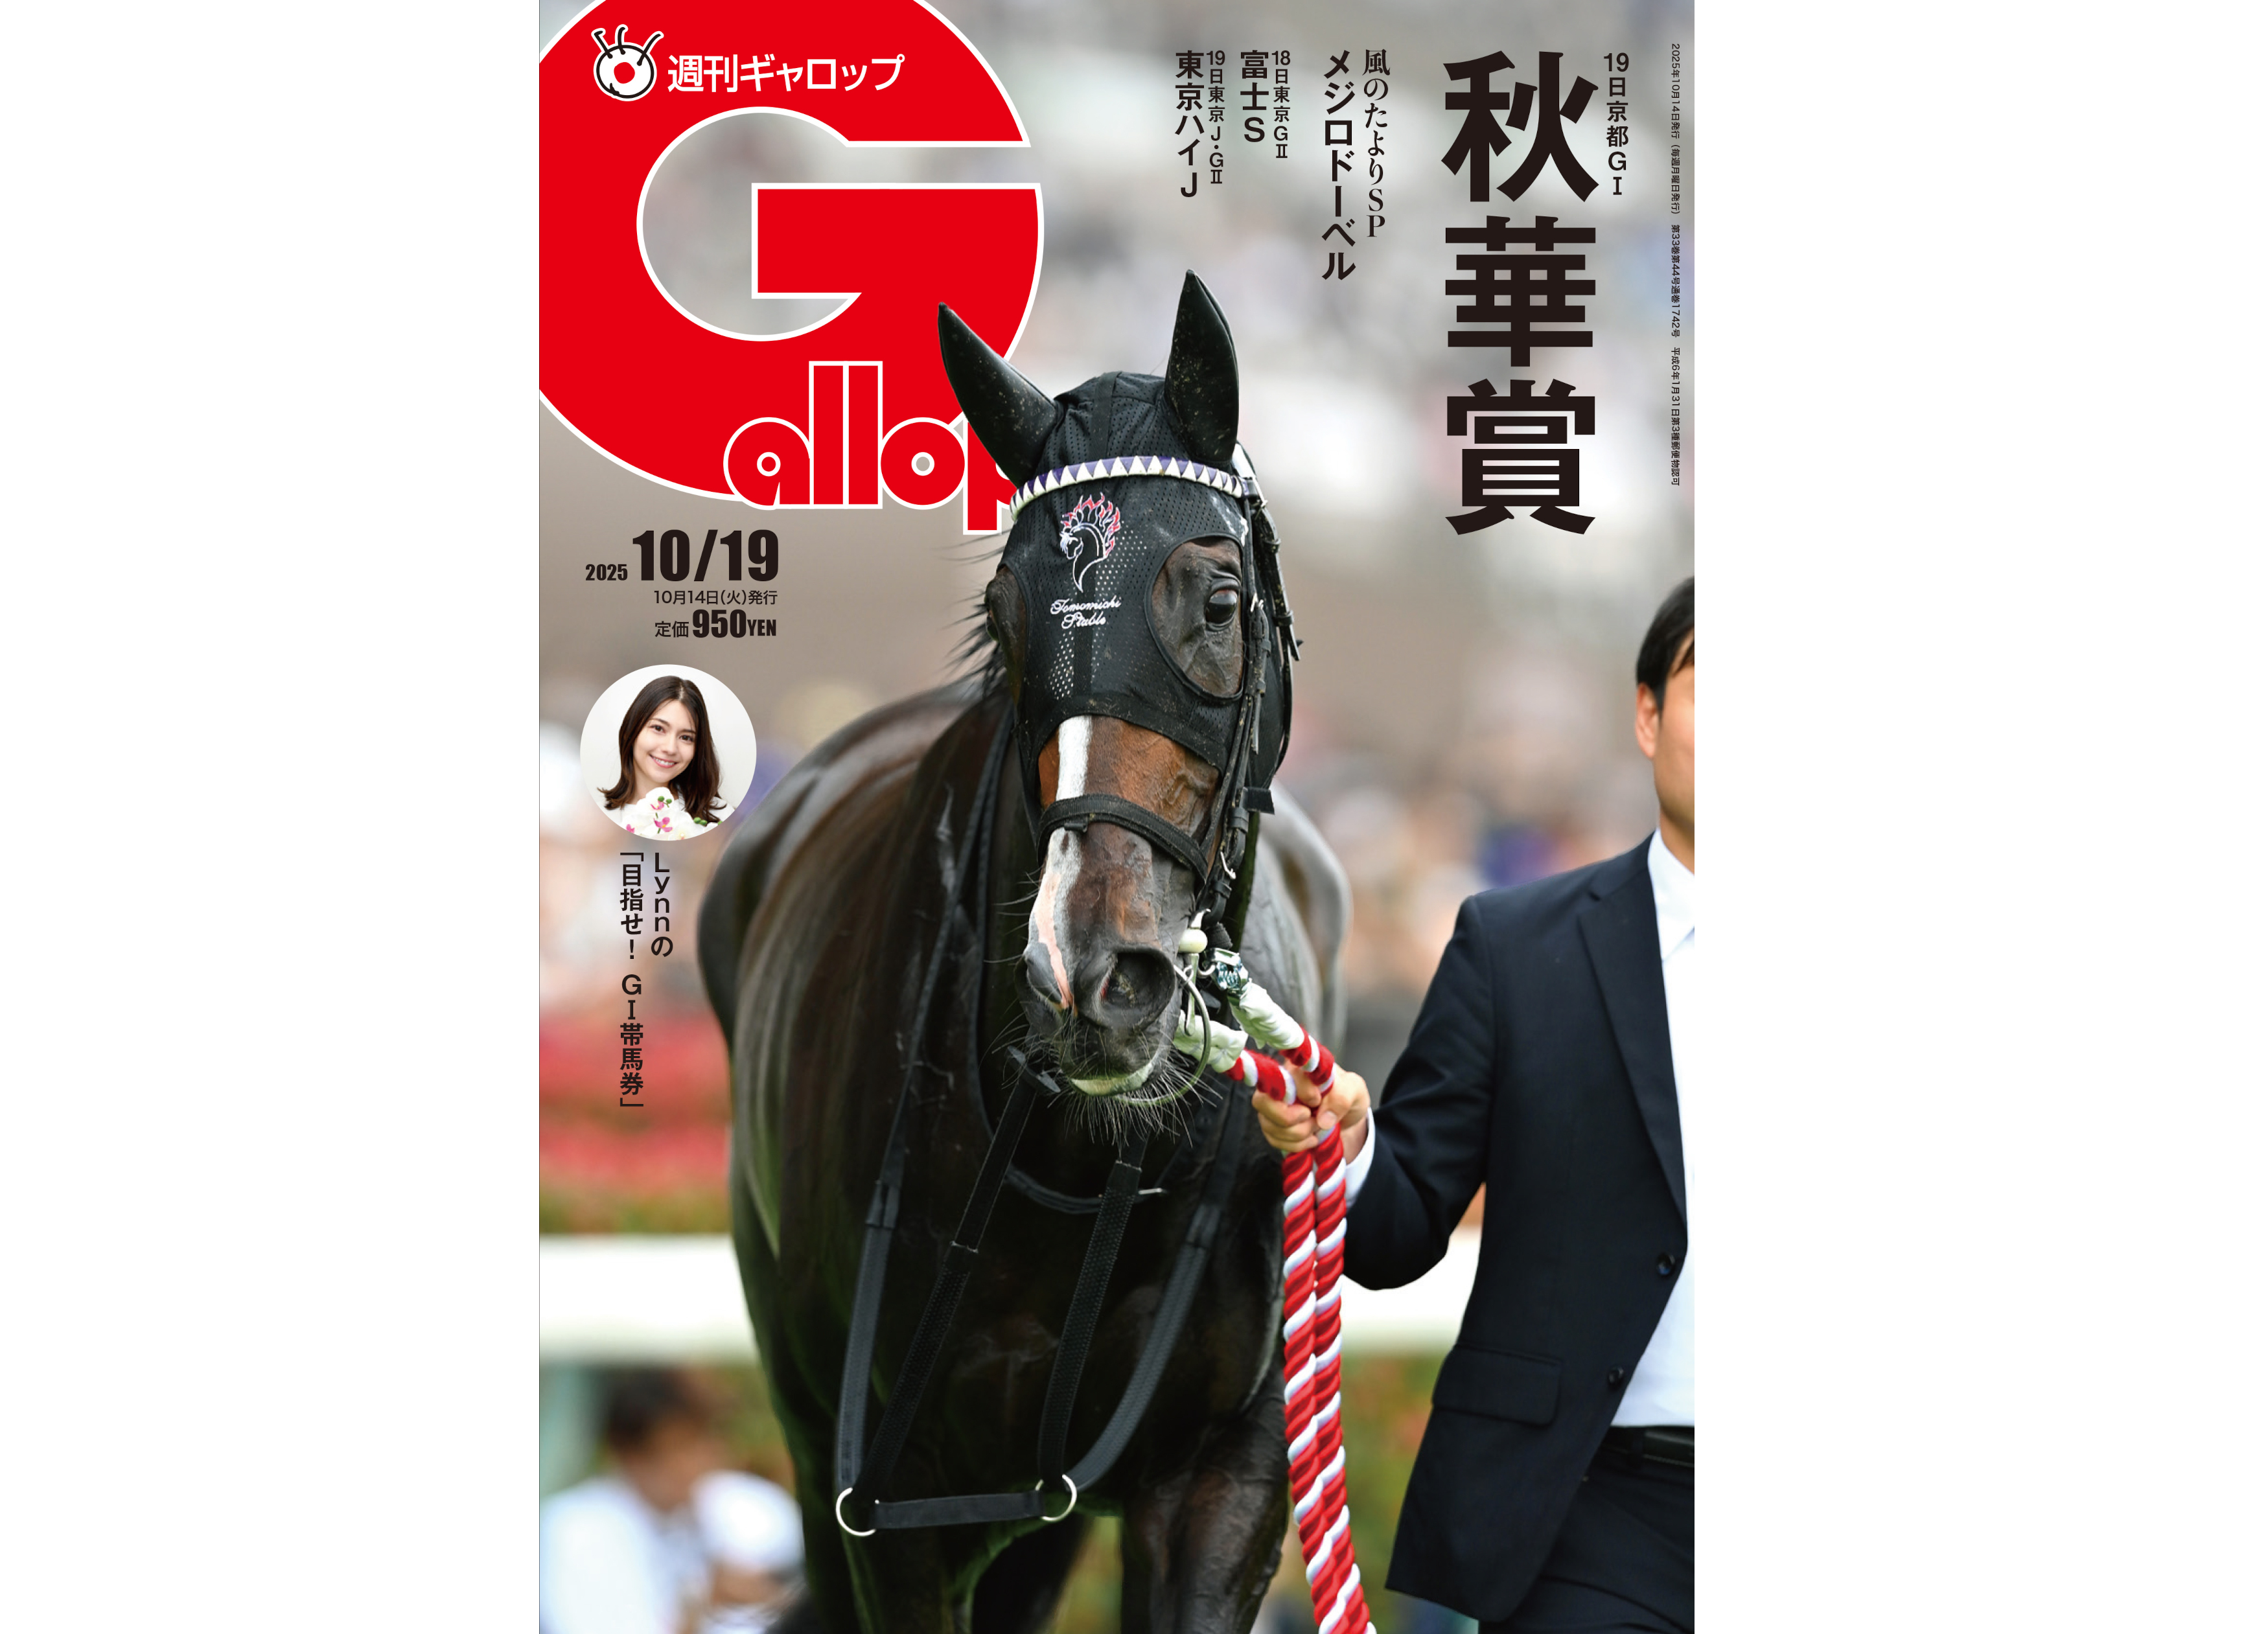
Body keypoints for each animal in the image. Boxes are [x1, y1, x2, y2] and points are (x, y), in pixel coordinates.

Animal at [699, 273, 1351, 1634]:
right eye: (1006, 618)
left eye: (1218, 601)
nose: (1091, 977)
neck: (1075, 1155)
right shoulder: (890, 1497)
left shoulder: (1224, 1467)